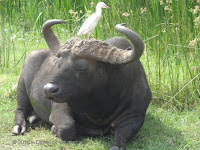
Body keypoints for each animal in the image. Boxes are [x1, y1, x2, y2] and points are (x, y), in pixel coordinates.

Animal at [12, 19, 152, 149]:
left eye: (82, 67)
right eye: (59, 64)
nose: (48, 89)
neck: (100, 107)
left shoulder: (136, 115)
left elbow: (122, 133)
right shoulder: (60, 105)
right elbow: (67, 128)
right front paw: (55, 129)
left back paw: (34, 119)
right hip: (22, 85)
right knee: (20, 109)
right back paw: (18, 127)